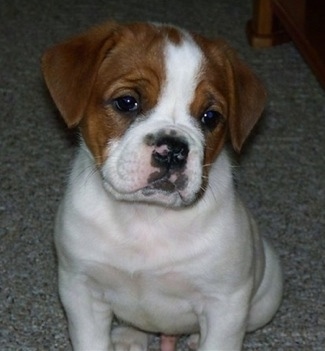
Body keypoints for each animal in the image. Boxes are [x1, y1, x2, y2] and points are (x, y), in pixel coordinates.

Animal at [42, 22, 280, 351]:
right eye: (127, 102)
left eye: (210, 116)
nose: (174, 150)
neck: (147, 216)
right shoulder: (81, 291)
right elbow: (92, 341)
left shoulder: (225, 305)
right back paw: (130, 337)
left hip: (266, 297)